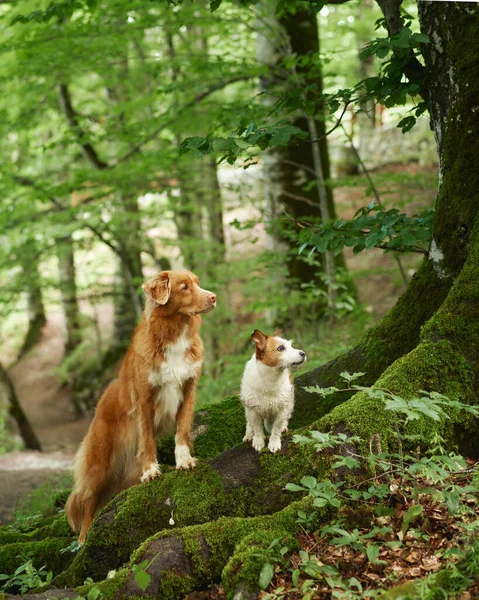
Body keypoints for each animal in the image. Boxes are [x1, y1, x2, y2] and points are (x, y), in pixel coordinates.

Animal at [65, 270, 218, 544]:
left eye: (198, 283)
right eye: (184, 287)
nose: (213, 297)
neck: (175, 332)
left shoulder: (188, 391)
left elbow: (182, 432)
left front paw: (184, 461)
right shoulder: (144, 401)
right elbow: (147, 440)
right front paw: (151, 471)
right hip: (99, 463)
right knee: (88, 501)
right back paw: (83, 538)